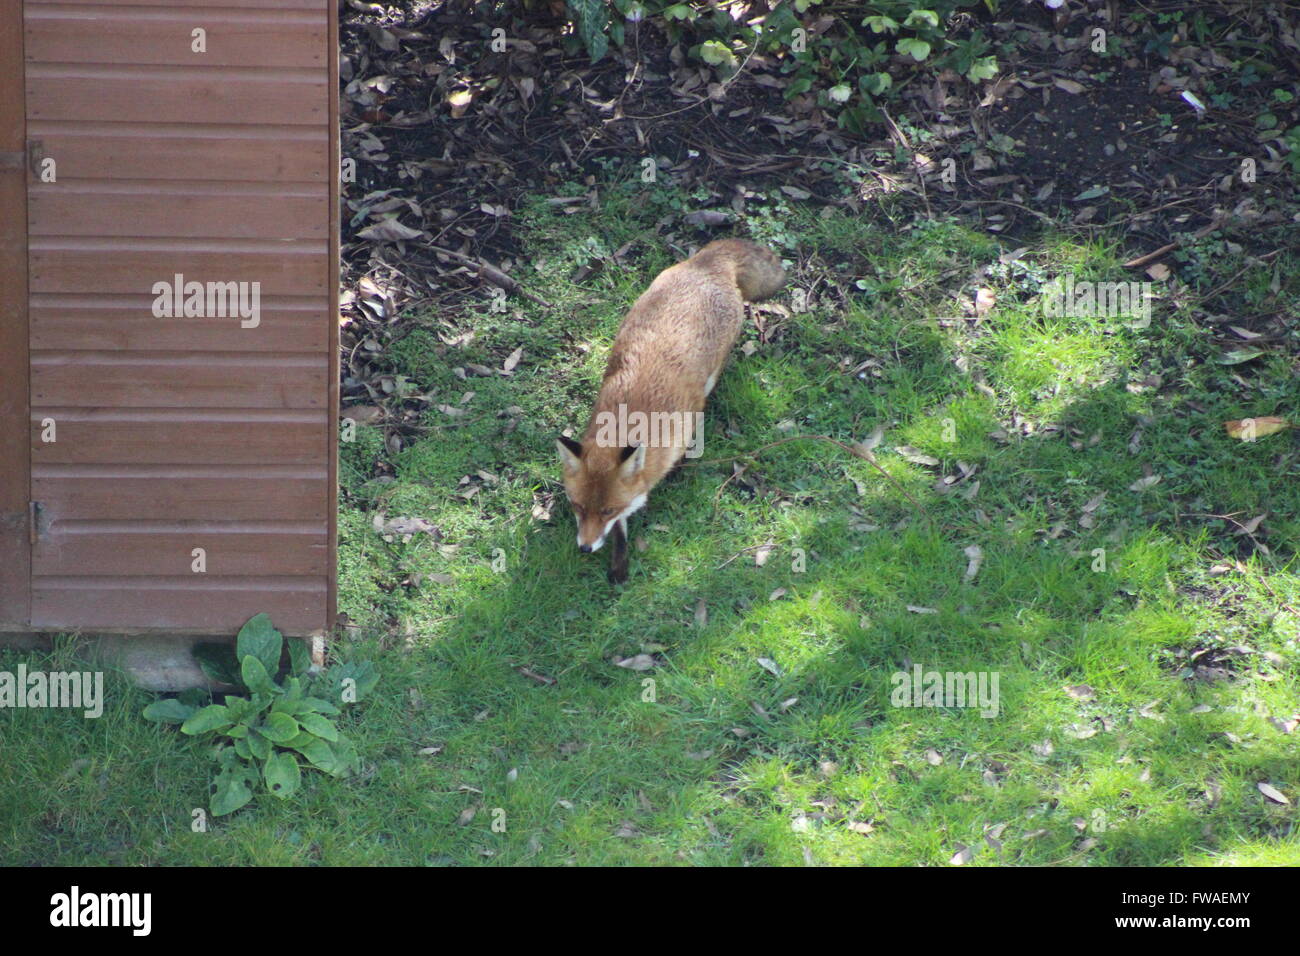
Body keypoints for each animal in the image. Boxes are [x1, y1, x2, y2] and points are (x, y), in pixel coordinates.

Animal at [556, 239, 780, 582]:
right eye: (578, 507)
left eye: (606, 510)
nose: (585, 548)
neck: (628, 420)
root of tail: (707, 262)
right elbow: (623, 525)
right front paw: (619, 563)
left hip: (715, 368)